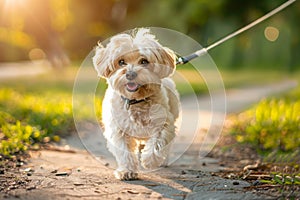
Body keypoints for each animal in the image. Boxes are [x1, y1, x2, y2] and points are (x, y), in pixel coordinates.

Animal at [92, 28, 179, 181]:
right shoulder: (118, 130)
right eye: (121, 62)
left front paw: (149, 160)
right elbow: (124, 151)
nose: (130, 74)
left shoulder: (163, 122)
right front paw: (127, 171)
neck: (136, 101)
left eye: (144, 61)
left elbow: (157, 142)